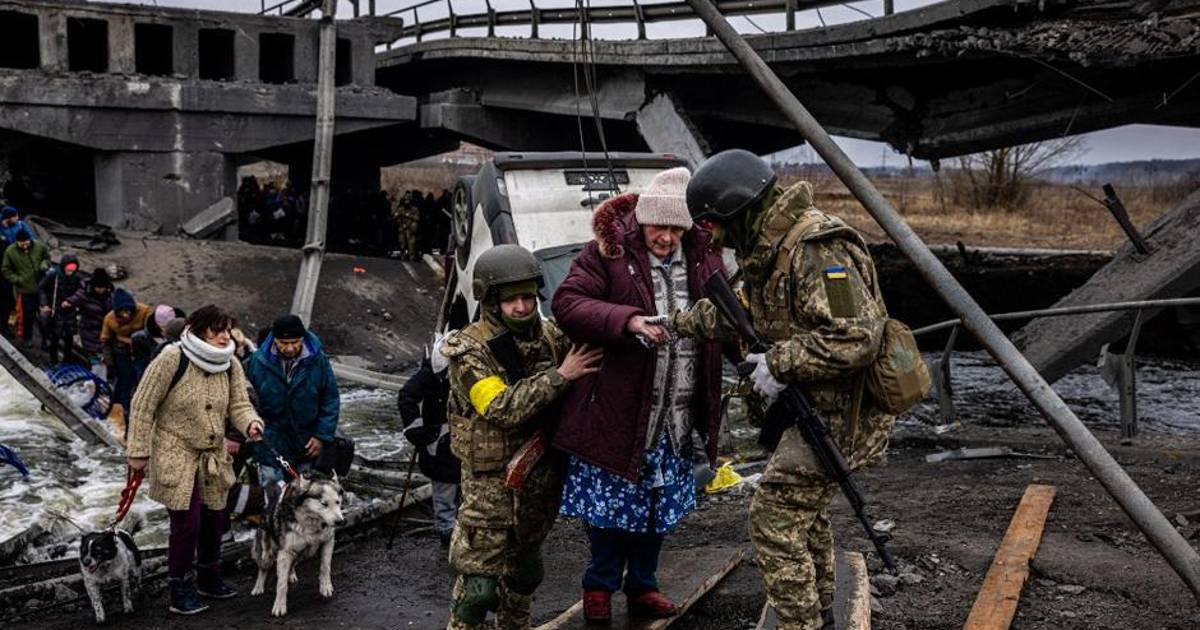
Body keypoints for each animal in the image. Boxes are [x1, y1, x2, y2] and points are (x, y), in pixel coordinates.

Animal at [250, 470, 345, 617]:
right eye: (324, 504)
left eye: (337, 502)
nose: (340, 521)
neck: (311, 521)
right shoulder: (285, 552)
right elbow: (281, 584)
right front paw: (279, 605)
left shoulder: (328, 541)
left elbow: (325, 567)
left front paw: (326, 587)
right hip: (267, 553)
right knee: (263, 568)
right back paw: (258, 587)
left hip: (302, 554)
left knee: (293, 563)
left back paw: (291, 574)